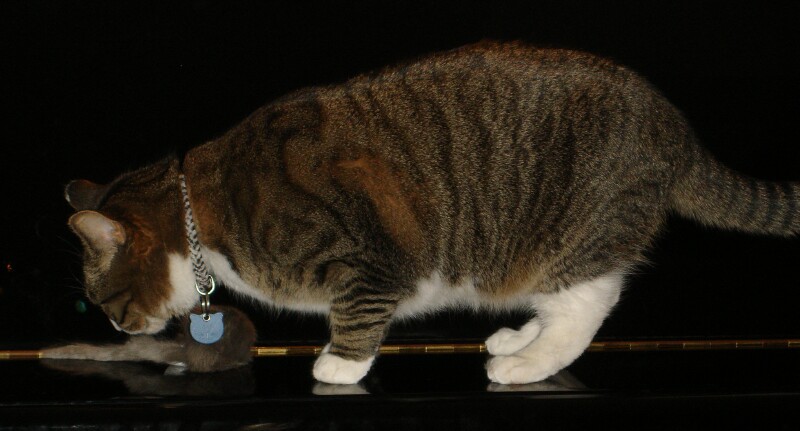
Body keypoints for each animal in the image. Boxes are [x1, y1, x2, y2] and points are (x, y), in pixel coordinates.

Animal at [63, 41, 799, 385]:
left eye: (103, 301)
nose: (118, 328)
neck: (203, 210)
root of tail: (675, 128)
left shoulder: (368, 257)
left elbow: (358, 314)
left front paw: (339, 364)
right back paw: (517, 340)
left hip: (570, 233)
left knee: (588, 303)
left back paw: (527, 363)